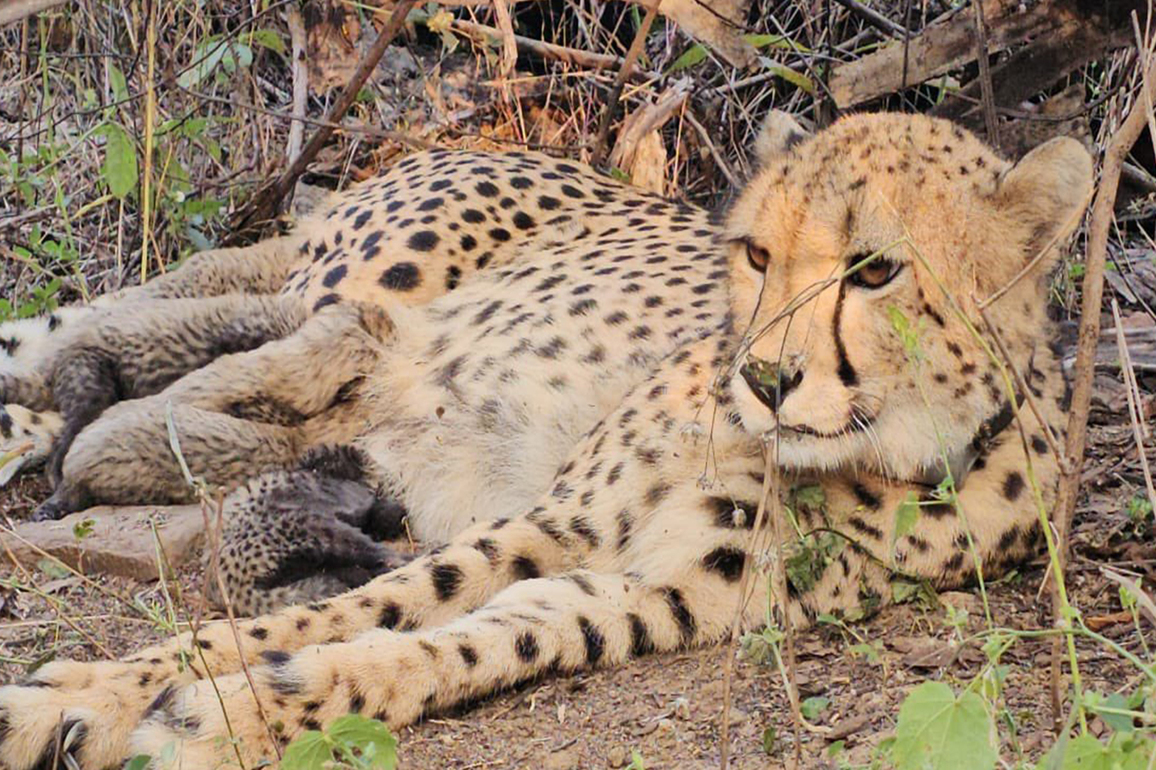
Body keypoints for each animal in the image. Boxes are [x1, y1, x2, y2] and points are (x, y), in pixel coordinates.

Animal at [0, 110, 1092, 770]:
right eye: (755, 252)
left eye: (875, 271)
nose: (764, 378)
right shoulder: (558, 520)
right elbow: (344, 609)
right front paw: (85, 694)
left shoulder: (650, 593)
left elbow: (457, 642)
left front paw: (227, 713)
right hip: (352, 285)